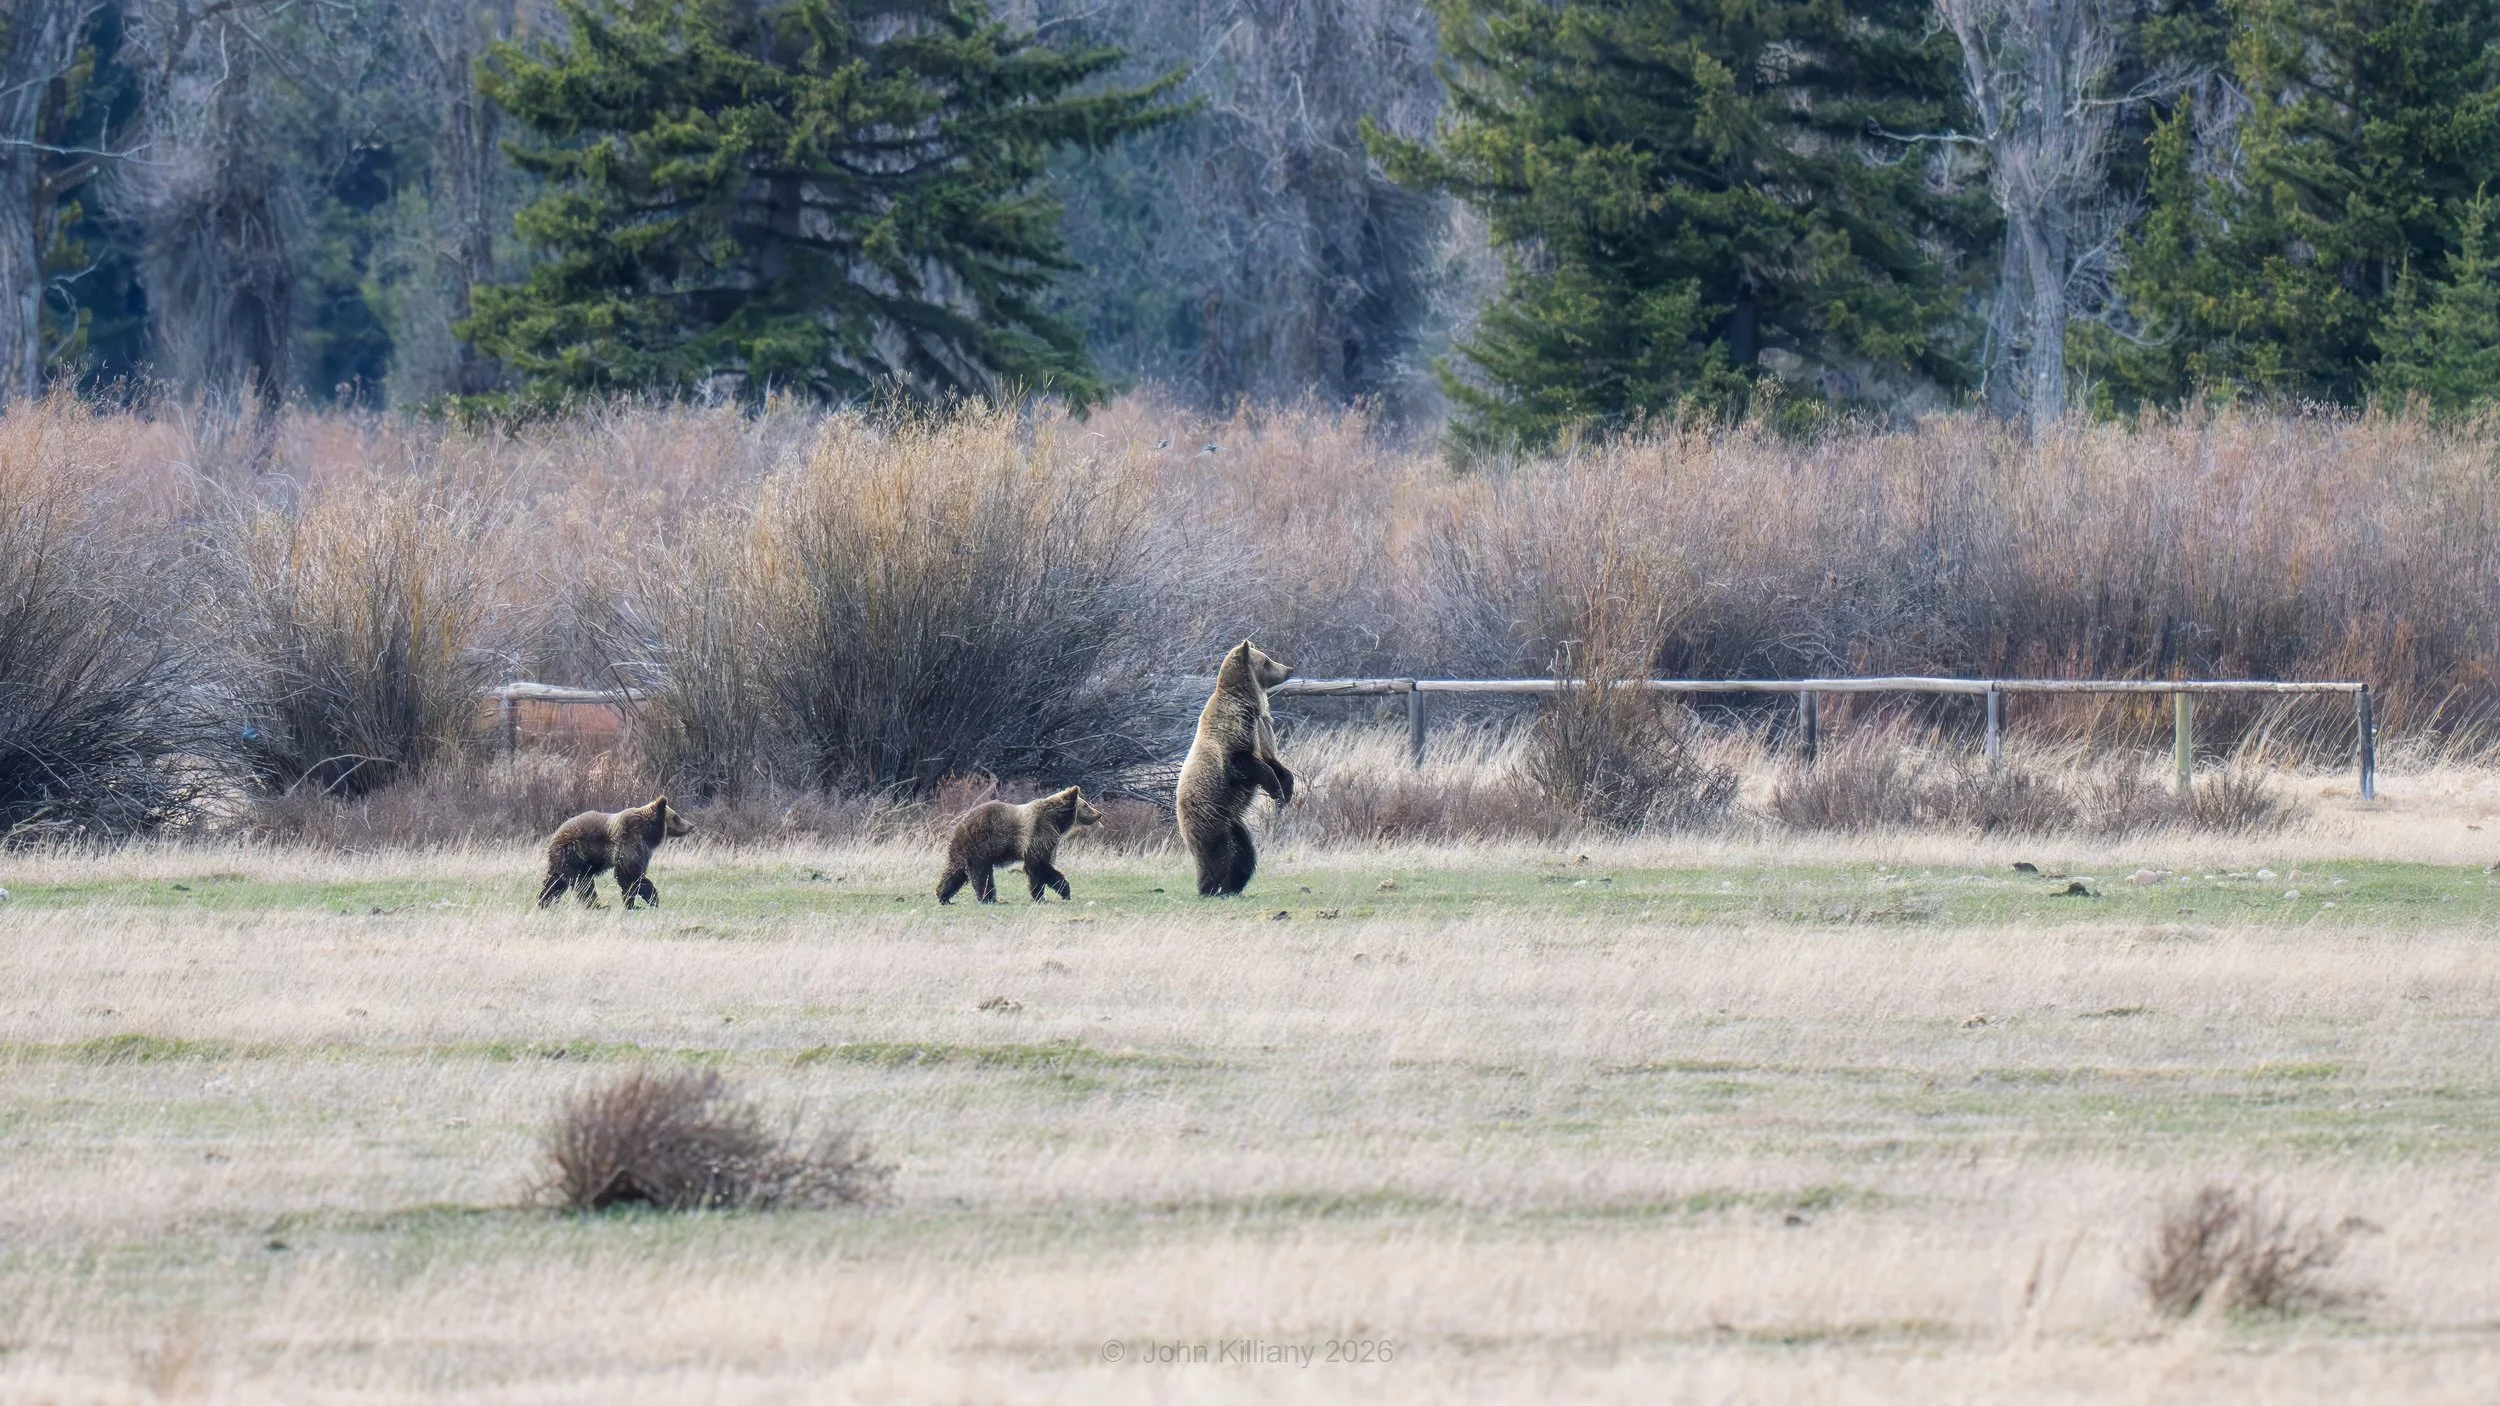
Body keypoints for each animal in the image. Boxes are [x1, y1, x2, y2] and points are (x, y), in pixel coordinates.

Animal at [537, 796, 693, 909]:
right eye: (676, 817)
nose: (691, 825)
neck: (647, 831)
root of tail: (554, 836)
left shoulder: (643, 849)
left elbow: (636, 873)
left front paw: (649, 899)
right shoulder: (629, 840)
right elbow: (629, 874)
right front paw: (639, 901)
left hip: (562, 862)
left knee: (554, 882)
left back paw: (544, 901)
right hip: (575, 854)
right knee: (583, 883)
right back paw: (597, 905)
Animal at [937, 786, 1102, 904]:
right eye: (1086, 805)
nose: (1099, 813)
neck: (1056, 821)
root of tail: (956, 827)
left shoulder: (1049, 839)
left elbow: (1038, 867)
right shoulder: (1038, 833)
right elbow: (1039, 866)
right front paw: (1054, 893)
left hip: (963, 852)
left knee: (955, 873)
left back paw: (943, 896)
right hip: (978, 846)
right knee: (982, 875)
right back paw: (987, 898)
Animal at [1175, 640, 1295, 896]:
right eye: (1267, 661)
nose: (1289, 669)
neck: (1249, 705)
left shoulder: (1260, 732)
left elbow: (1275, 764)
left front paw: (1287, 792)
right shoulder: (1232, 738)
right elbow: (1250, 765)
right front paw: (1276, 791)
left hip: (1234, 824)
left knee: (1242, 853)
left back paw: (1233, 886)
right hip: (1209, 813)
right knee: (1217, 854)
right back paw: (1210, 887)